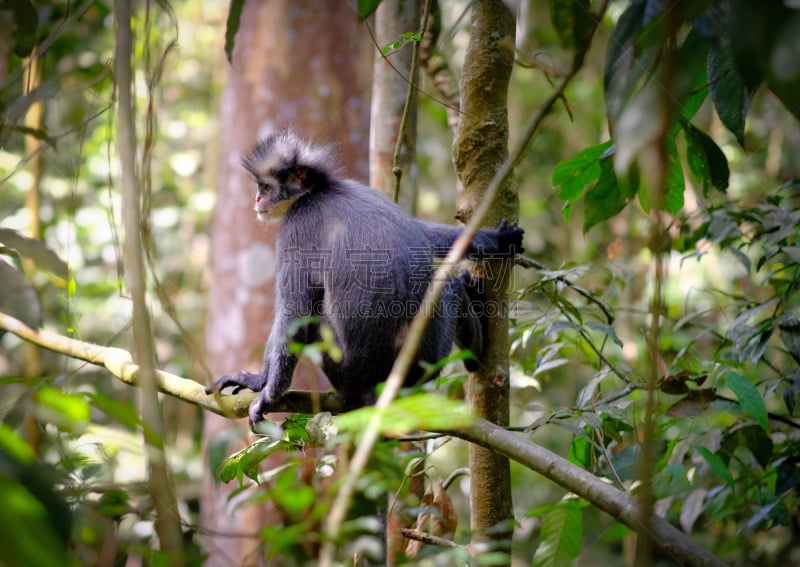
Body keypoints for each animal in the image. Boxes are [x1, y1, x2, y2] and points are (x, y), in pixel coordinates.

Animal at [211, 132, 524, 426]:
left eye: (265, 187)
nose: (257, 199)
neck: (320, 191)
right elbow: (425, 234)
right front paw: (499, 240)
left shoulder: (297, 227)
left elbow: (294, 314)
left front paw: (264, 391)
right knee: (450, 284)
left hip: (353, 367)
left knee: (446, 285)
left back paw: (475, 352)